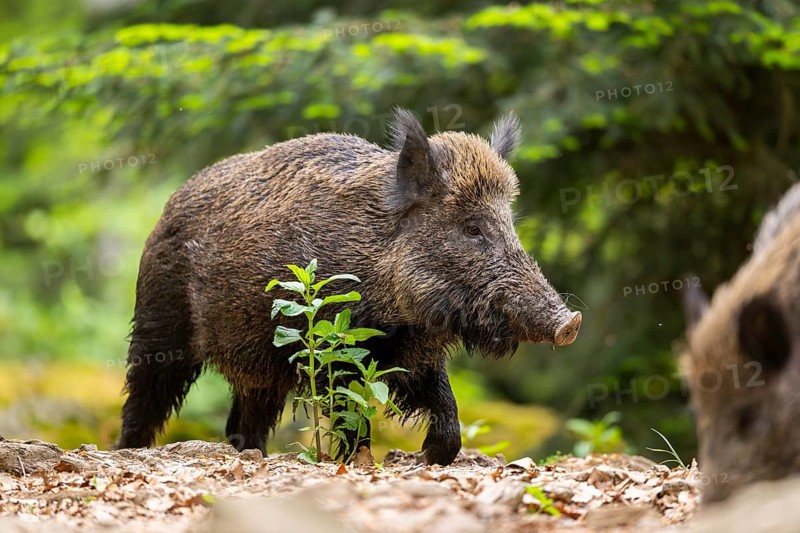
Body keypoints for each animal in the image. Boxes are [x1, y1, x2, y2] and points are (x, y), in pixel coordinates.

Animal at [116, 108, 582, 465]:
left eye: (510, 223)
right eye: (472, 228)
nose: (570, 322)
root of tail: (169, 205)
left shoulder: (415, 352)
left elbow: (445, 406)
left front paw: (430, 456)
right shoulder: (329, 342)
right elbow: (348, 409)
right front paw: (362, 461)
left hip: (260, 366)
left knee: (243, 421)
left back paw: (253, 455)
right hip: (159, 321)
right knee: (144, 398)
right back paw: (128, 450)